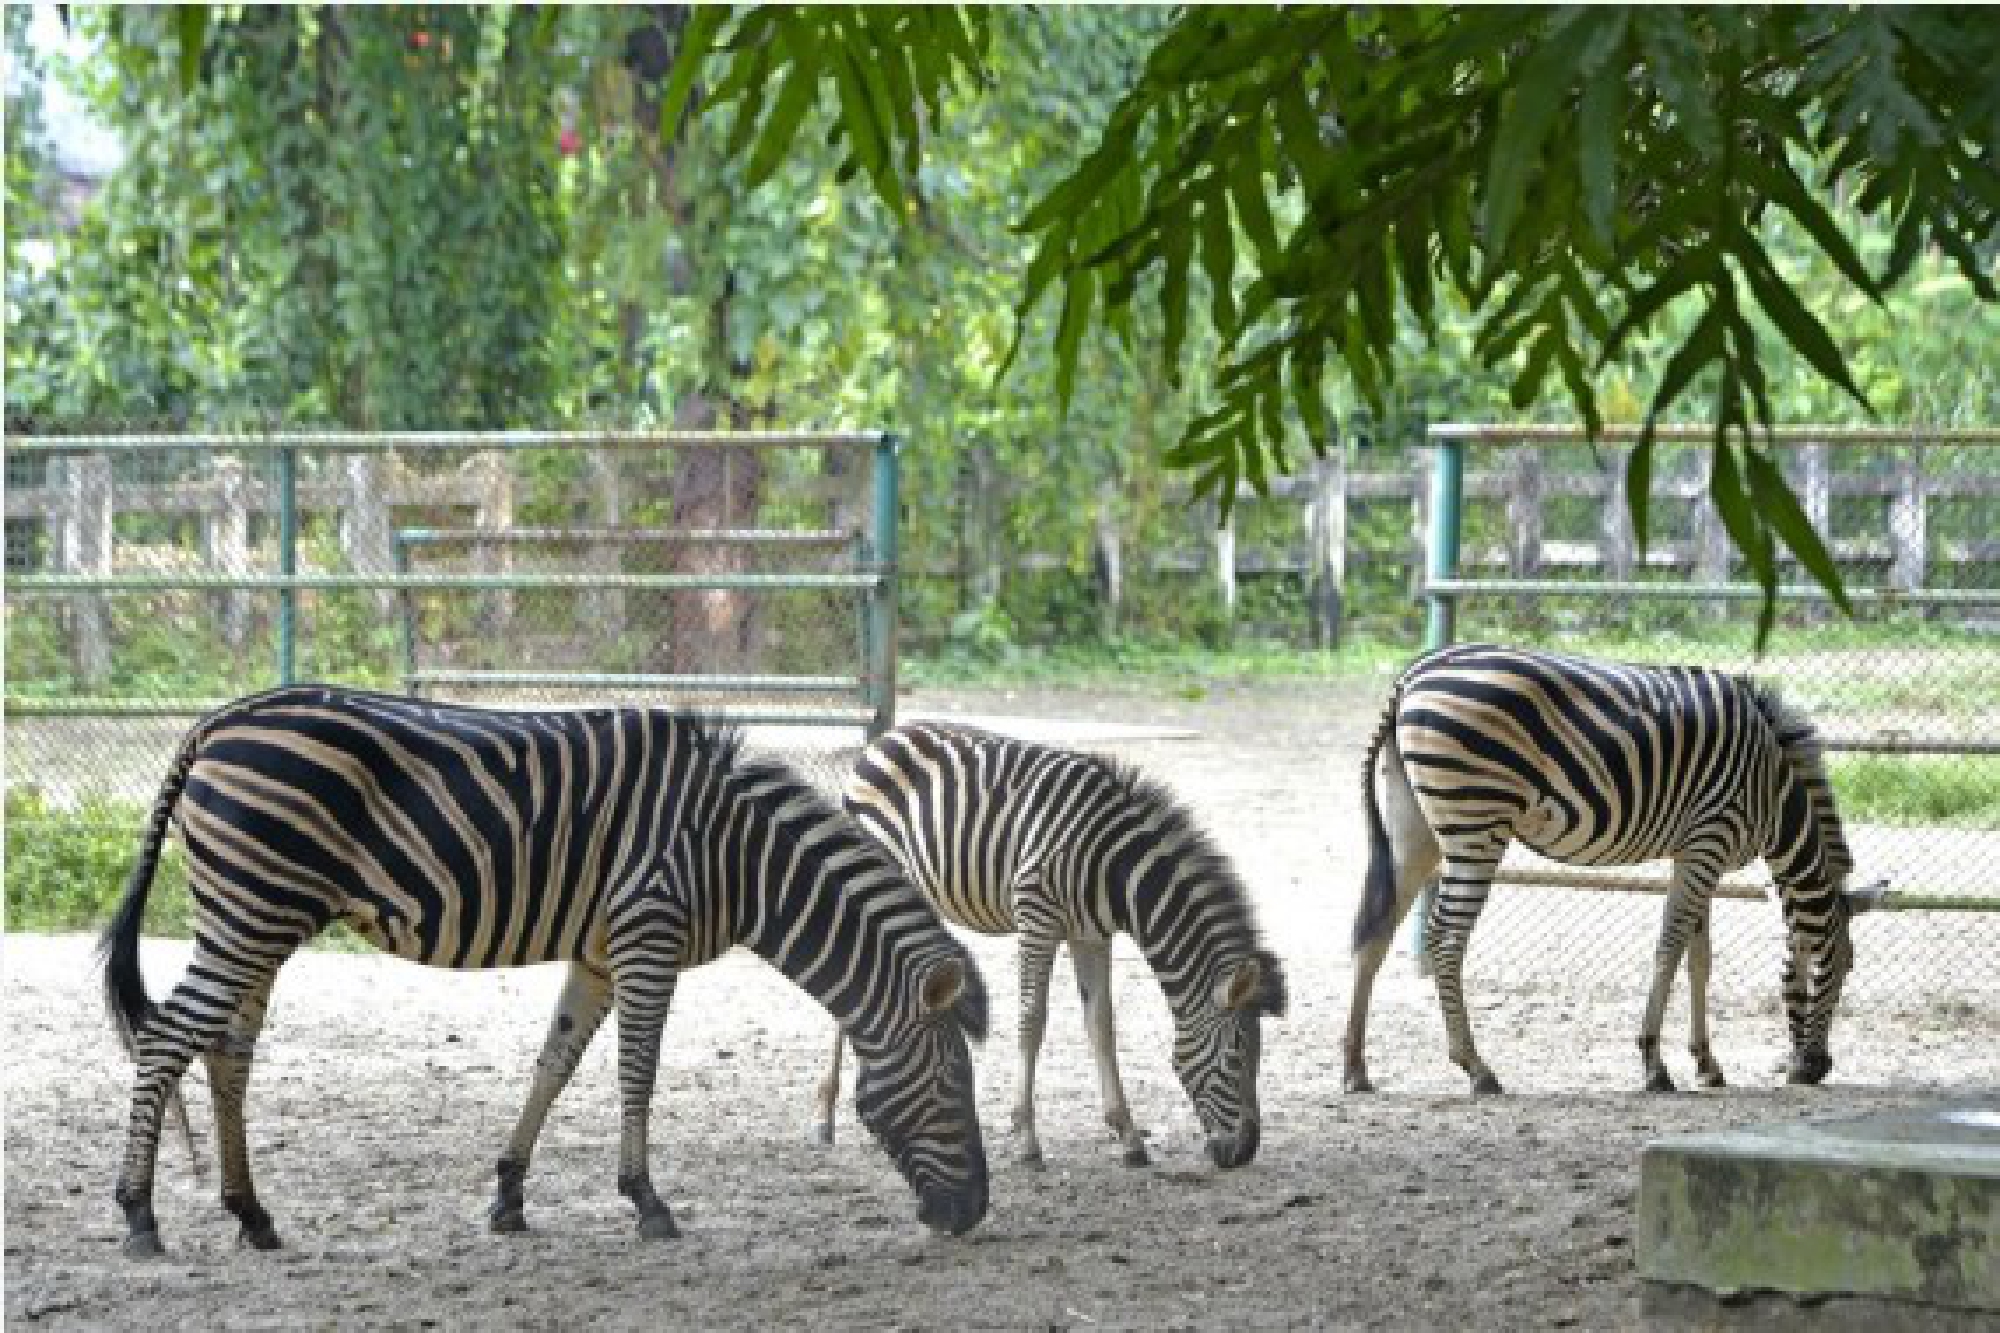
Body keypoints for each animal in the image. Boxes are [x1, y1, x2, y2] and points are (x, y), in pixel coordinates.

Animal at [99, 685, 990, 1258]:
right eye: (953, 1081)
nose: (973, 1214)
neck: (738, 856)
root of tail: (218, 720)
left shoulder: (599, 950)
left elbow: (554, 1063)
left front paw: (509, 1194)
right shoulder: (648, 933)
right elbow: (638, 1070)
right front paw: (647, 1200)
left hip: (257, 919)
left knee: (225, 1052)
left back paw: (251, 1213)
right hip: (252, 911)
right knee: (168, 1037)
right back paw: (141, 1215)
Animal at [816, 722, 1286, 1170]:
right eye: (1234, 1058)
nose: (1245, 1152)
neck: (1115, 870)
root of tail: (885, 738)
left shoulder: (1091, 935)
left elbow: (1102, 1025)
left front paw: (1129, 1138)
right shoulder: (1037, 920)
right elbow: (1032, 1021)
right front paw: (1026, 1140)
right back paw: (826, 1117)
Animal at [1344, 643, 1885, 1096]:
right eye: (1843, 966)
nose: (1817, 1069)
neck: (1774, 791)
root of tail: (1411, 676)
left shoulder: (1699, 851)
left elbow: (1700, 958)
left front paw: (1707, 1064)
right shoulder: (1710, 839)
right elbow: (1670, 947)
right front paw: (1655, 1065)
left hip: (1415, 825)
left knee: (1377, 930)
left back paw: (1355, 1069)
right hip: (1476, 823)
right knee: (1445, 937)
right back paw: (1477, 1069)